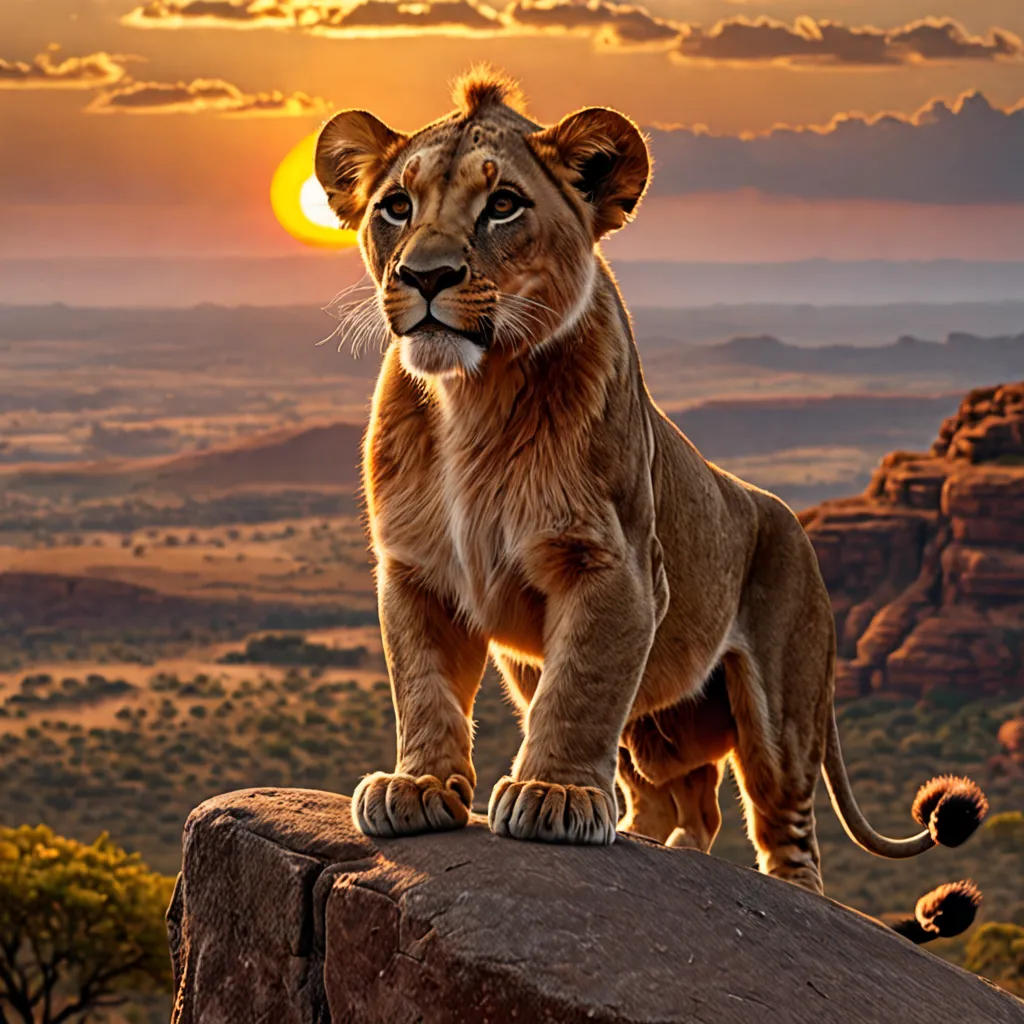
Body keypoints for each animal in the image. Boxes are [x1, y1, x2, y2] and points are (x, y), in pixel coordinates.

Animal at [314, 68, 987, 927]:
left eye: (503, 206)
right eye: (396, 206)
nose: (425, 276)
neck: (474, 396)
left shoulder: (618, 568)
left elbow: (578, 690)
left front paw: (553, 795)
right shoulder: (415, 570)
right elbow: (423, 685)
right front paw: (420, 785)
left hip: (782, 715)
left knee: (787, 834)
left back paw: (784, 893)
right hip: (655, 731)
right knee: (684, 804)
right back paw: (655, 841)